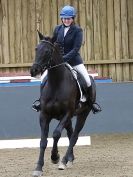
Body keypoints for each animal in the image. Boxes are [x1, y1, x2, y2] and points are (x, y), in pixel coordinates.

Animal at [29, 31, 96, 176]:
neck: (56, 83)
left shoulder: (67, 113)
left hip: (82, 114)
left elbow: (56, 134)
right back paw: (70, 159)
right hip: (68, 118)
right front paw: (38, 168)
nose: (34, 70)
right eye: (36, 49)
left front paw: (55, 157)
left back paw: (64, 161)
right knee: (70, 133)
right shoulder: (44, 115)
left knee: (74, 136)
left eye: (48, 51)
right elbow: (43, 141)